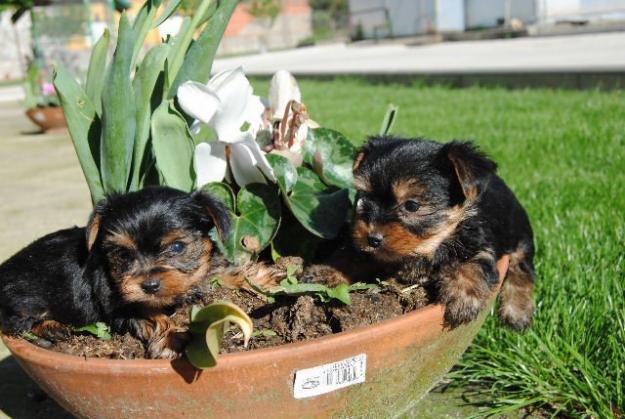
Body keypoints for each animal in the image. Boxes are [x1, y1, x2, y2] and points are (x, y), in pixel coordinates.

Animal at [0, 186, 280, 358]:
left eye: (177, 247)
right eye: (124, 255)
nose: (149, 286)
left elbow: (218, 270)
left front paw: (261, 280)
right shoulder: (120, 305)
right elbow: (153, 315)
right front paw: (172, 337)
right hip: (23, 300)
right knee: (14, 323)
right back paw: (52, 328)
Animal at [310, 138, 532, 332]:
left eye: (411, 205)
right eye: (364, 198)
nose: (372, 238)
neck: (430, 244)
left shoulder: (479, 242)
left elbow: (474, 263)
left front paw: (462, 296)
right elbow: (352, 255)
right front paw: (324, 272)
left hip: (520, 233)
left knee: (522, 269)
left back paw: (517, 313)